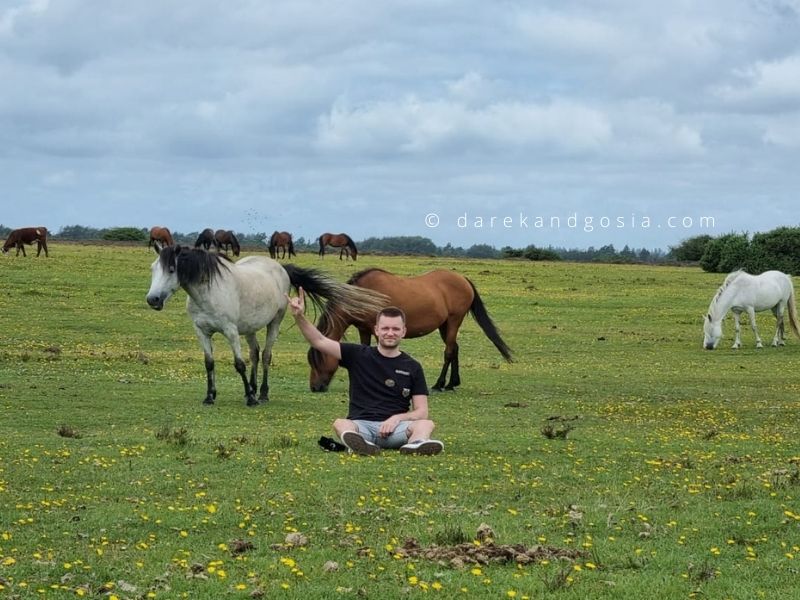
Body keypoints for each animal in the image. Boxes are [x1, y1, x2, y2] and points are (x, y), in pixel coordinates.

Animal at [148, 245, 390, 408]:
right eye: (153, 269)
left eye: (171, 269)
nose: (153, 300)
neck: (208, 293)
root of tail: (280, 267)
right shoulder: (201, 332)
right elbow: (209, 363)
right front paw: (210, 396)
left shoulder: (230, 331)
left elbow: (239, 364)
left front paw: (250, 398)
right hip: (250, 327)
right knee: (255, 354)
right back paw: (254, 388)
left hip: (274, 322)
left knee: (264, 355)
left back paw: (262, 394)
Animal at [306, 268, 512, 392]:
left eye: (318, 360)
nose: (315, 387)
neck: (364, 296)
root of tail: (463, 279)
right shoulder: (364, 330)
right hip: (444, 325)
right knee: (455, 348)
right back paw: (452, 383)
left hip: (454, 320)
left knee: (449, 351)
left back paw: (439, 384)